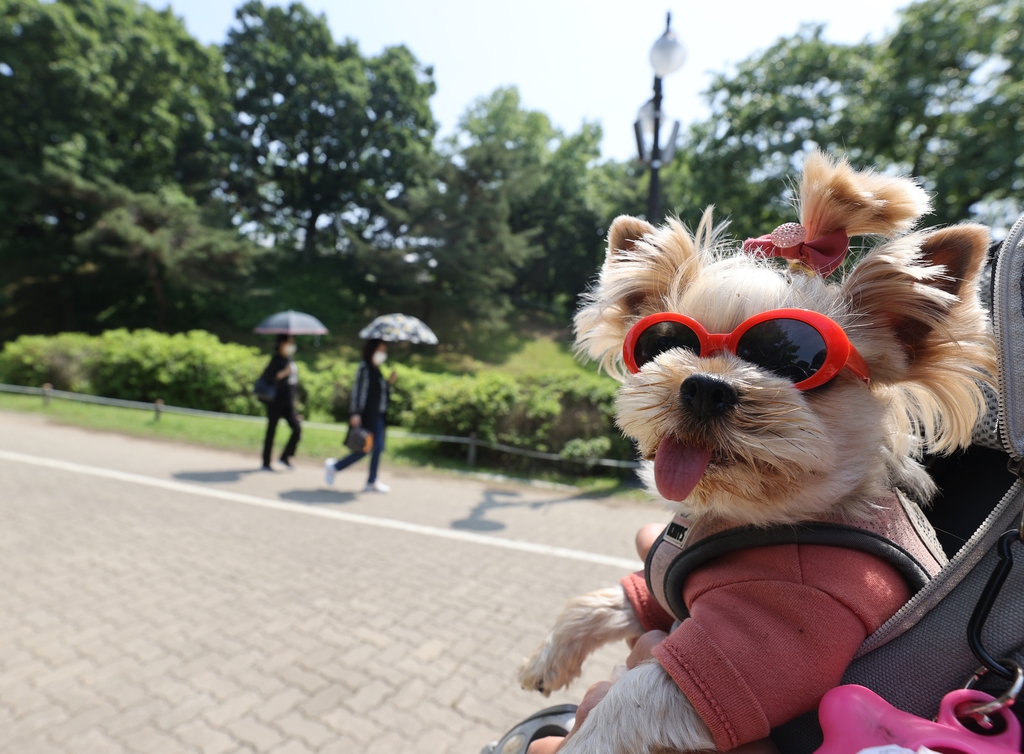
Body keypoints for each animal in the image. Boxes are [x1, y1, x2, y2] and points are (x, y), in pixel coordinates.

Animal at [516, 150, 995, 749]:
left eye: (794, 361)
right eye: (662, 343)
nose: (704, 386)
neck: (739, 515)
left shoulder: (774, 630)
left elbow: (631, 697)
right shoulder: (661, 595)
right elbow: (610, 599)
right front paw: (546, 659)